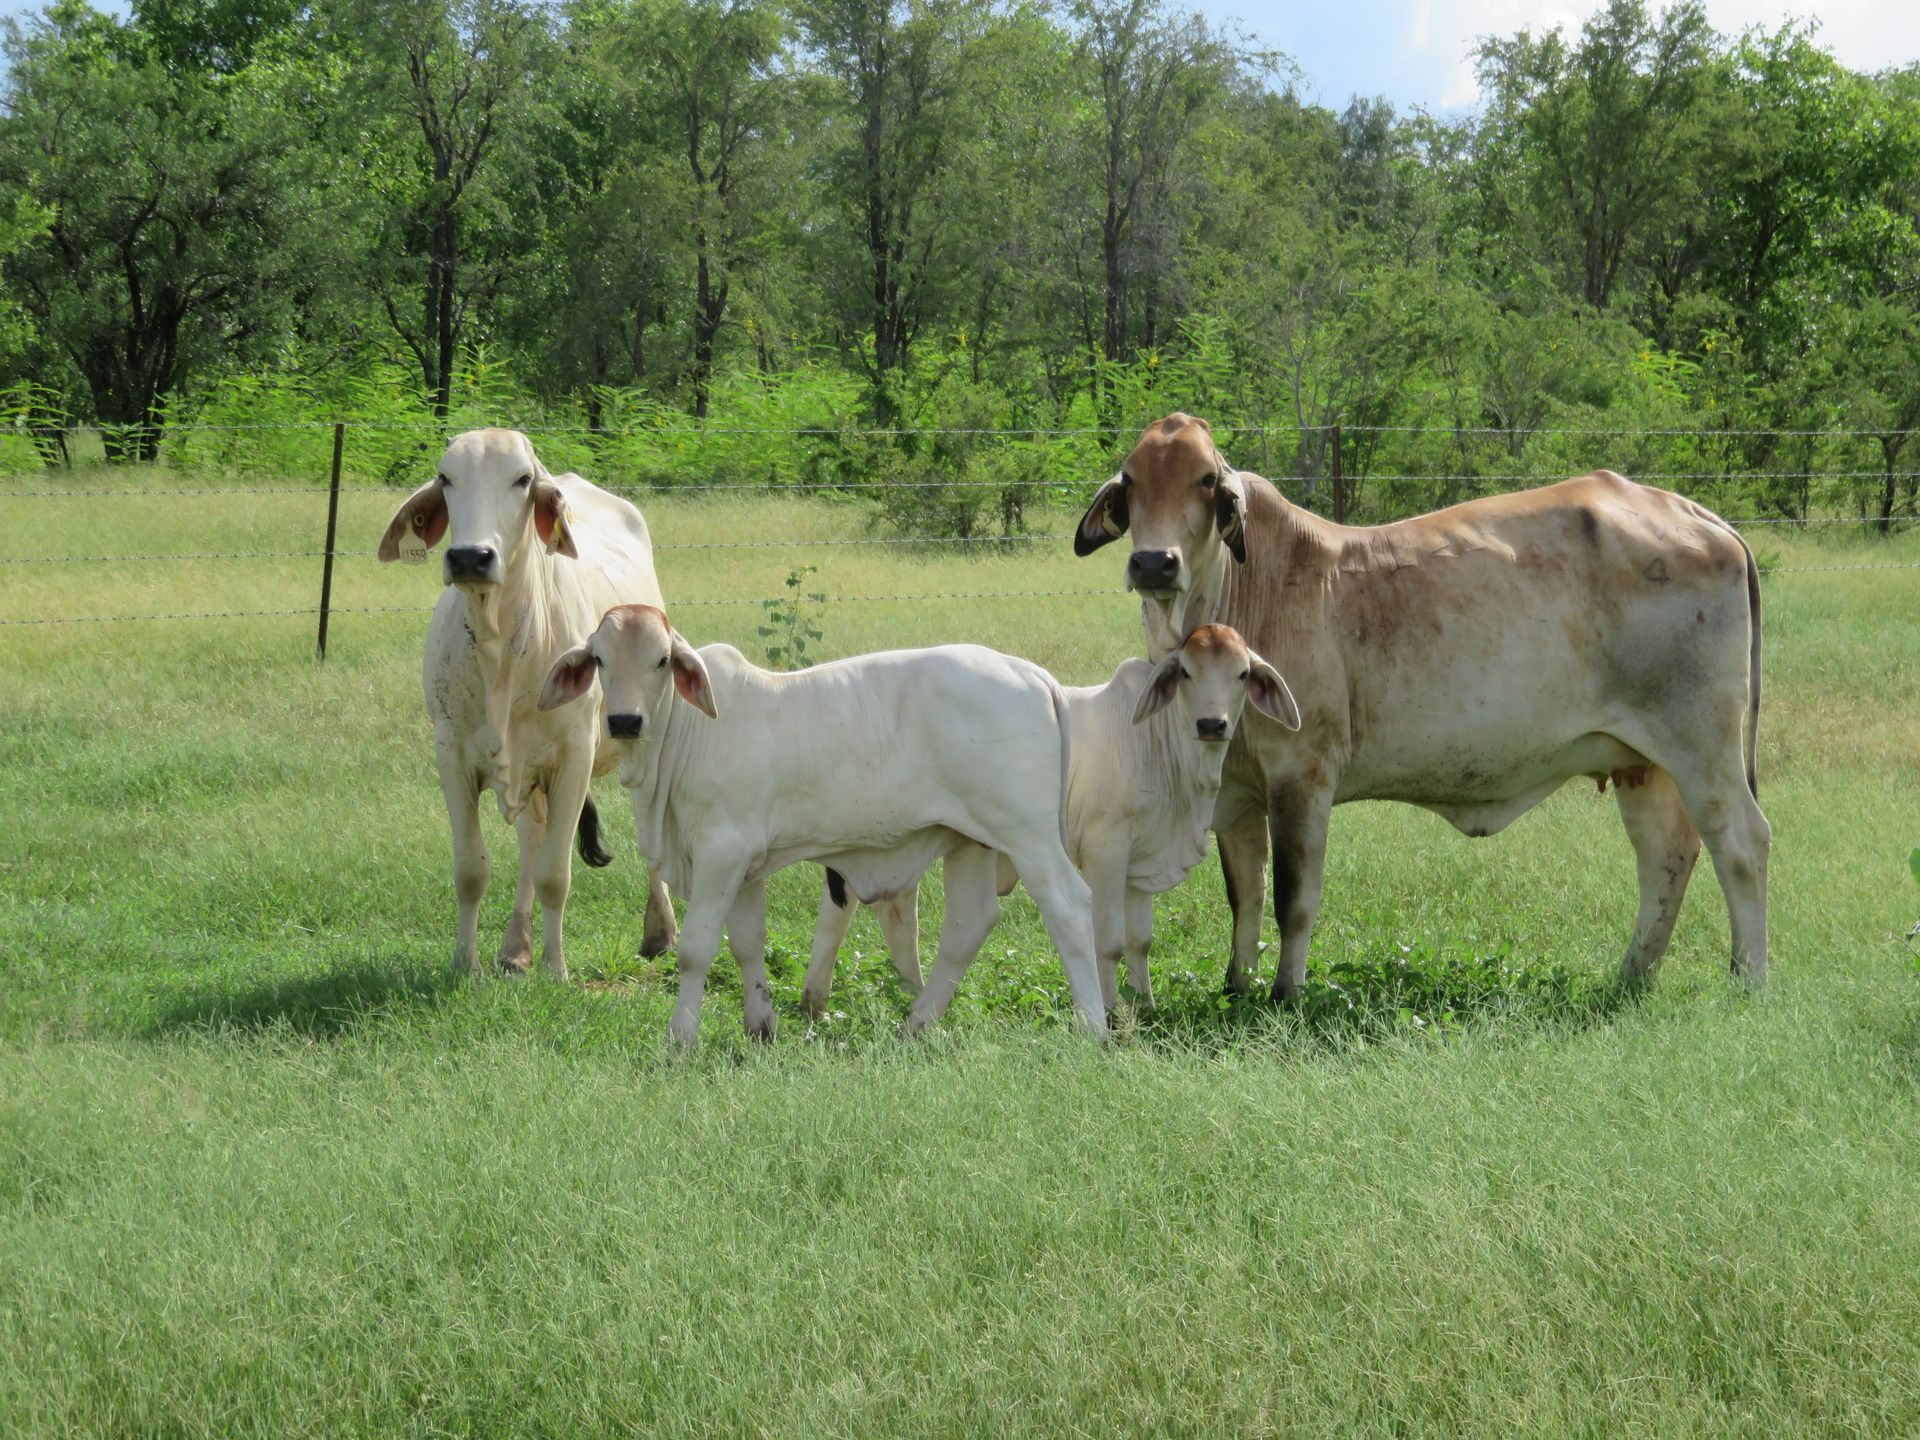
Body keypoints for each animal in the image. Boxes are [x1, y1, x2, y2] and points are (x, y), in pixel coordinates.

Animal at [378, 428, 677, 979]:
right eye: (445, 477)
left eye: (521, 479)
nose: (470, 557)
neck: (501, 651)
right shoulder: (451, 755)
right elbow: (472, 869)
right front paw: (467, 963)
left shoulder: (574, 758)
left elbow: (556, 874)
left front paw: (556, 971)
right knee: (530, 840)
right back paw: (515, 947)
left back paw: (661, 931)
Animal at [537, 606, 1109, 1046]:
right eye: (600, 659)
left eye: (661, 660)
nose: (624, 721)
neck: (687, 732)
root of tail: (1032, 674)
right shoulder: (746, 866)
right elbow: (747, 943)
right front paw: (760, 1027)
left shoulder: (722, 852)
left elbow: (697, 949)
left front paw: (680, 1038)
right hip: (971, 840)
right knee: (968, 925)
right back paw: (917, 1025)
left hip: (1028, 836)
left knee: (1069, 906)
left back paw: (1094, 1029)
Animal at [801, 623, 1302, 1017]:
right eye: (1186, 673)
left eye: (1242, 674)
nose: (1212, 725)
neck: (1158, 746)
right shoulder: (1106, 851)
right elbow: (1109, 941)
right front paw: (1112, 1012)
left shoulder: (1140, 862)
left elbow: (1140, 941)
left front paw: (1145, 1006)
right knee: (845, 912)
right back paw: (824, 1003)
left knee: (894, 913)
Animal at [1073, 413, 1770, 1000]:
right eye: (1131, 481)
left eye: (1206, 480)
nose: (1154, 562)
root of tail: (1699, 515)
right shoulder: (1238, 792)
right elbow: (1244, 894)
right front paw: (1237, 989)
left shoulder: (1303, 775)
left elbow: (1293, 898)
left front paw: (1286, 994)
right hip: (1641, 761)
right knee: (1667, 855)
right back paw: (1630, 976)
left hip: (1702, 744)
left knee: (1741, 842)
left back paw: (1748, 979)